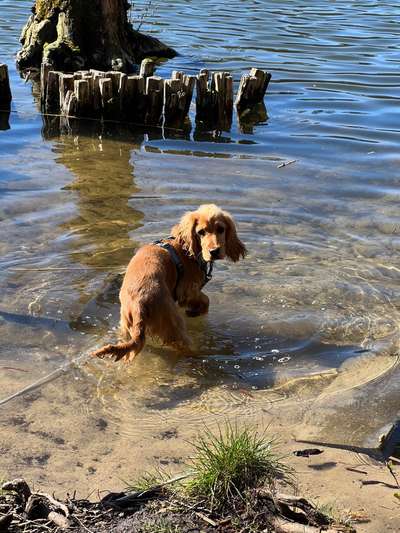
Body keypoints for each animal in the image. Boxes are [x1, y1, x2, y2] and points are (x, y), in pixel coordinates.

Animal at [91, 204, 247, 362]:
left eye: (221, 229)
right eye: (201, 232)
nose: (214, 251)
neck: (185, 247)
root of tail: (139, 305)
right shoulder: (188, 290)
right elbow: (206, 300)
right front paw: (195, 312)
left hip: (125, 326)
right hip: (174, 326)